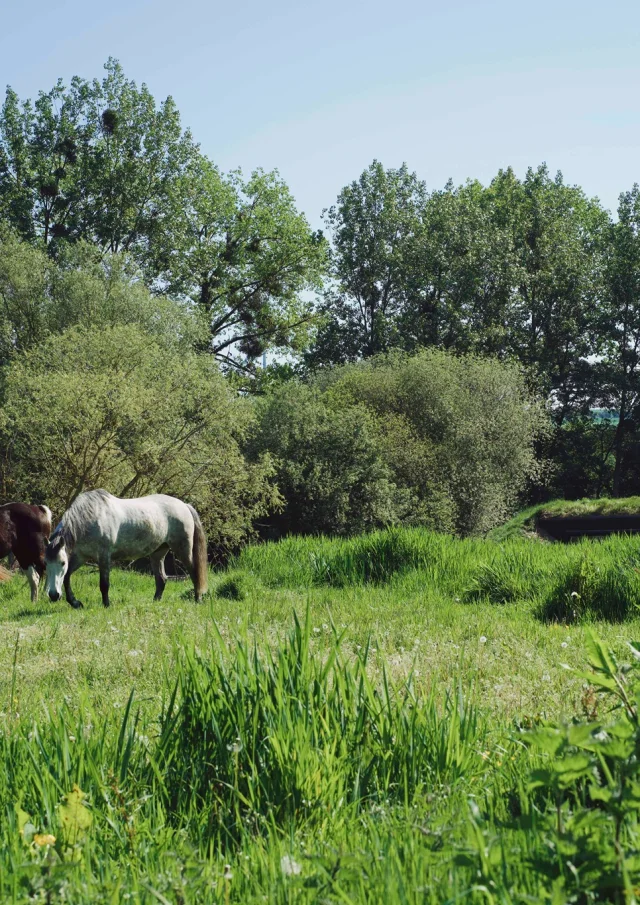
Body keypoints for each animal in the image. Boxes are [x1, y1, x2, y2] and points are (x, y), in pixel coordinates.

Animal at [45, 490, 208, 609]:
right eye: (46, 563)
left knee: (194, 573)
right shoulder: (81, 556)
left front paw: (106, 605)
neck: (91, 518)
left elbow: (104, 584)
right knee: (161, 579)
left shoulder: (104, 557)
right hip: (158, 553)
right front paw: (75, 603)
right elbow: (66, 577)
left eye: (62, 563)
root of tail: (184, 505)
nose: (53, 595)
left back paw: (198, 599)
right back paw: (155, 602)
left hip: (182, 549)